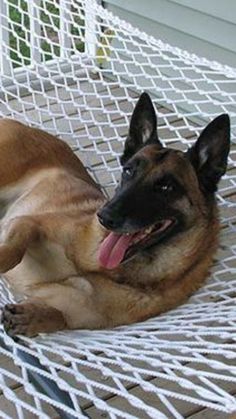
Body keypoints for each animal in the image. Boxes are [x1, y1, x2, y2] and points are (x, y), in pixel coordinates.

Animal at [0, 92, 229, 338]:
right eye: (128, 171)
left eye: (166, 187)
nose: (104, 216)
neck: (117, 274)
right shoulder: (29, 223)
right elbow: (13, 250)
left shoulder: (74, 310)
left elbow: (59, 316)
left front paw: (35, 317)